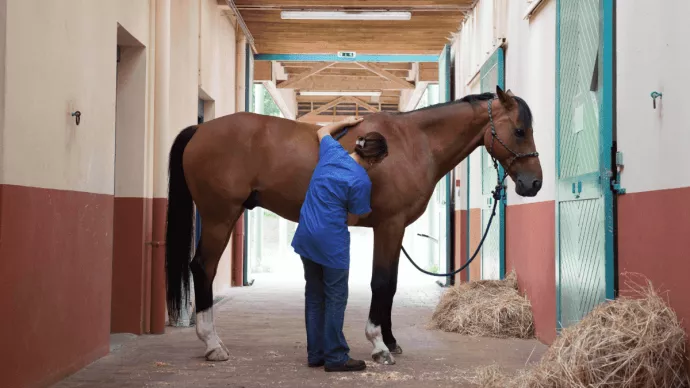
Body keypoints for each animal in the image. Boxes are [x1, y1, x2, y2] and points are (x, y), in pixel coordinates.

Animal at [164, 85, 540, 366]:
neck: (412, 143)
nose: (533, 183)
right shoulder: (389, 226)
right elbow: (381, 283)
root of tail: (200, 130)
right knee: (203, 268)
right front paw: (379, 345)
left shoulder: (395, 230)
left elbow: (390, 284)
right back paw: (213, 344)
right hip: (219, 217)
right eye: (520, 130)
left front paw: (390, 339)